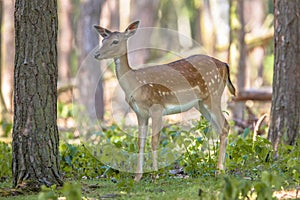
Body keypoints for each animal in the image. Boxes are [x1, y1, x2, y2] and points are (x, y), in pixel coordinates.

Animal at [94, 20, 237, 181]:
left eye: (115, 41)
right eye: (103, 40)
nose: (97, 54)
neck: (135, 85)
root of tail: (225, 64)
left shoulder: (157, 107)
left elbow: (154, 141)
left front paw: (155, 174)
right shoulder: (140, 113)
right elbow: (140, 142)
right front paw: (137, 177)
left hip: (213, 94)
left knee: (225, 126)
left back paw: (219, 171)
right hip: (201, 103)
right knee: (219, 128)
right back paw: (221, 169)